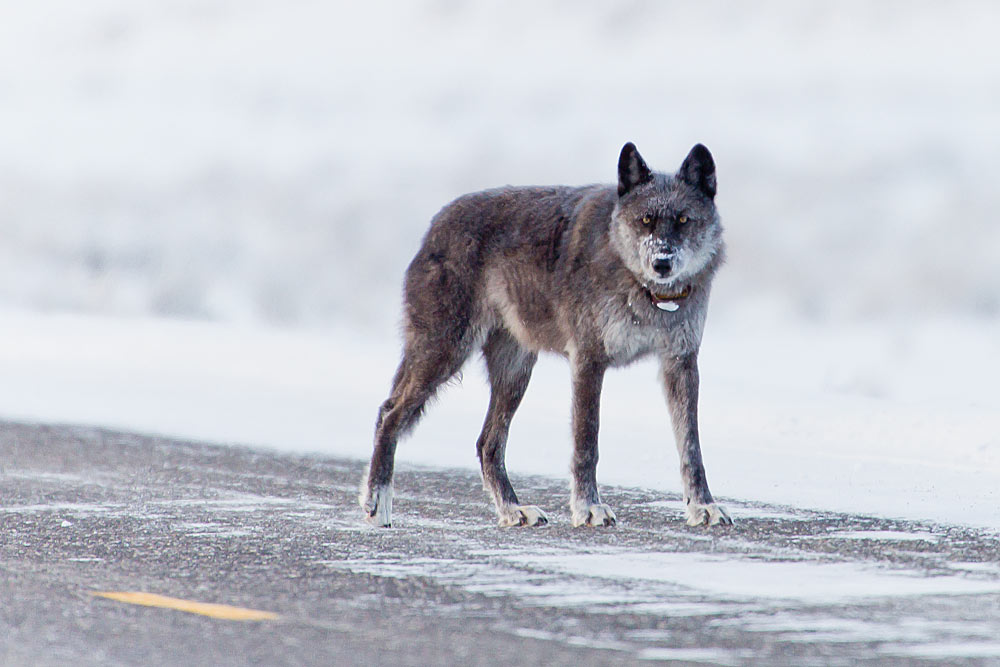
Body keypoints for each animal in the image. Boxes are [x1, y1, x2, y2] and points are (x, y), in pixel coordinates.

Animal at [362, 144, 736, 528]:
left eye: (683, 220)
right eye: (645, 220)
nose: (662, 262)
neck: (648, 293)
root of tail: (436, 222)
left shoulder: (681, 364)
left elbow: (691, 447)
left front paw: (702, 506)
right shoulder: (589, 362)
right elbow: (587, 443)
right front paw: (589, 507)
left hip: (514, 373)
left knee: (487, 443)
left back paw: (512, 510)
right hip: (445, 354)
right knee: (389, 414)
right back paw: (378, 503)